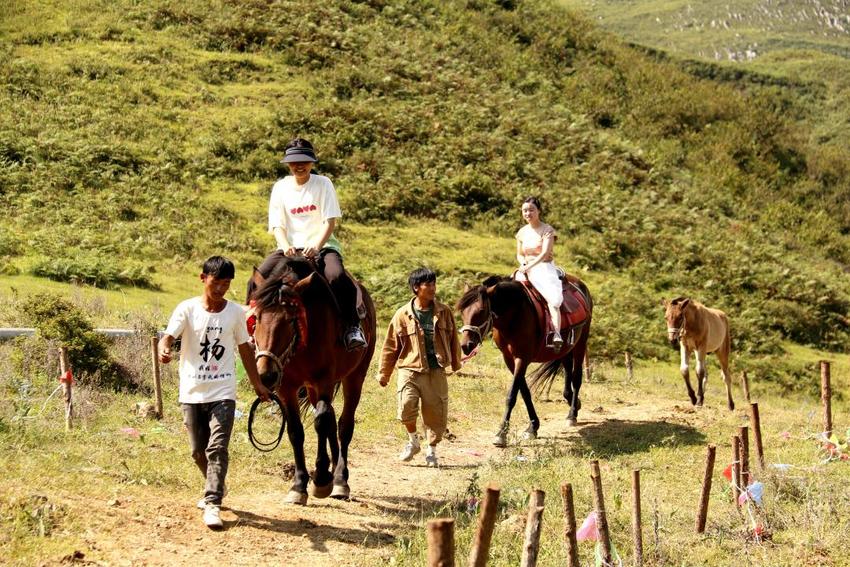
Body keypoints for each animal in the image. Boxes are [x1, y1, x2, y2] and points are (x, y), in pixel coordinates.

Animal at [247, 253, 376, 506]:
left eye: (290, 319)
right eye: (256, 317)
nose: (266, 375)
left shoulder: (324, 379)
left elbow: (322, 421)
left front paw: (322, 479)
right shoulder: (287, 388)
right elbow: (296, 431)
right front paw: (298, 486)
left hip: (355, 376)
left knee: (343, 424)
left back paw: (340, 480)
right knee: (332, 420)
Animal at [458, 276, 588, 448]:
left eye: (481, 311)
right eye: (462, 312)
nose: (466, 346)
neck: (515, 315)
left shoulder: (522, 358)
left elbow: (512, 395)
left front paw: (501, 433)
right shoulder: (509, 359)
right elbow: (524, 392)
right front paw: (533, 427)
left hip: (581, 343)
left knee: (577, 378)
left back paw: (572, 415)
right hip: (567, 346)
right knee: (567, 369)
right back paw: (572, 401)